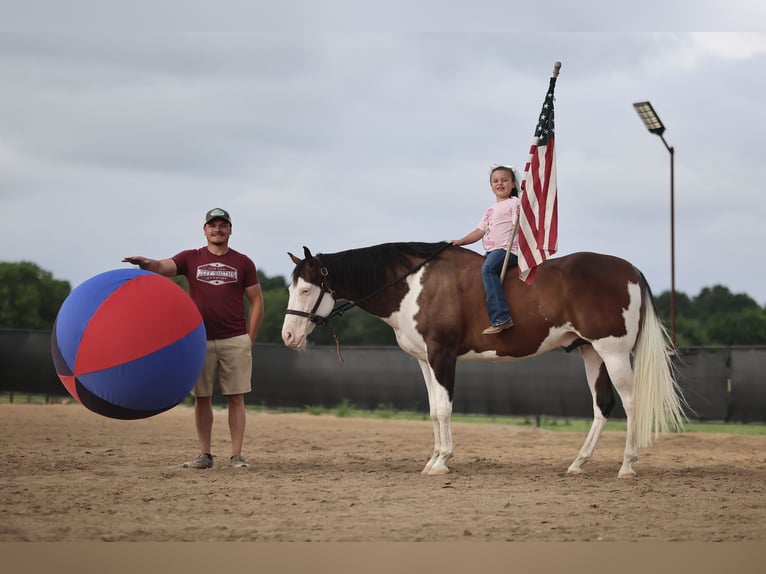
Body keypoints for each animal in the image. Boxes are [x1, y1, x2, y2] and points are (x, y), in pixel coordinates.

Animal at [281, 241, 686, 478]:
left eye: (306, 289)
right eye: (291, 287)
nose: (288, 336)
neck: (414, 286)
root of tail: (629, 269)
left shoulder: (443, 355)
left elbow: (445, 408)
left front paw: (442, 461)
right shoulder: (425, 361)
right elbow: (433, 409)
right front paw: (433, 458)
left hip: (613, 352)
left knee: (630, 404)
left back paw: (627, 465)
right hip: (591, 352)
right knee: (602, 405)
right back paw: (578, 463)